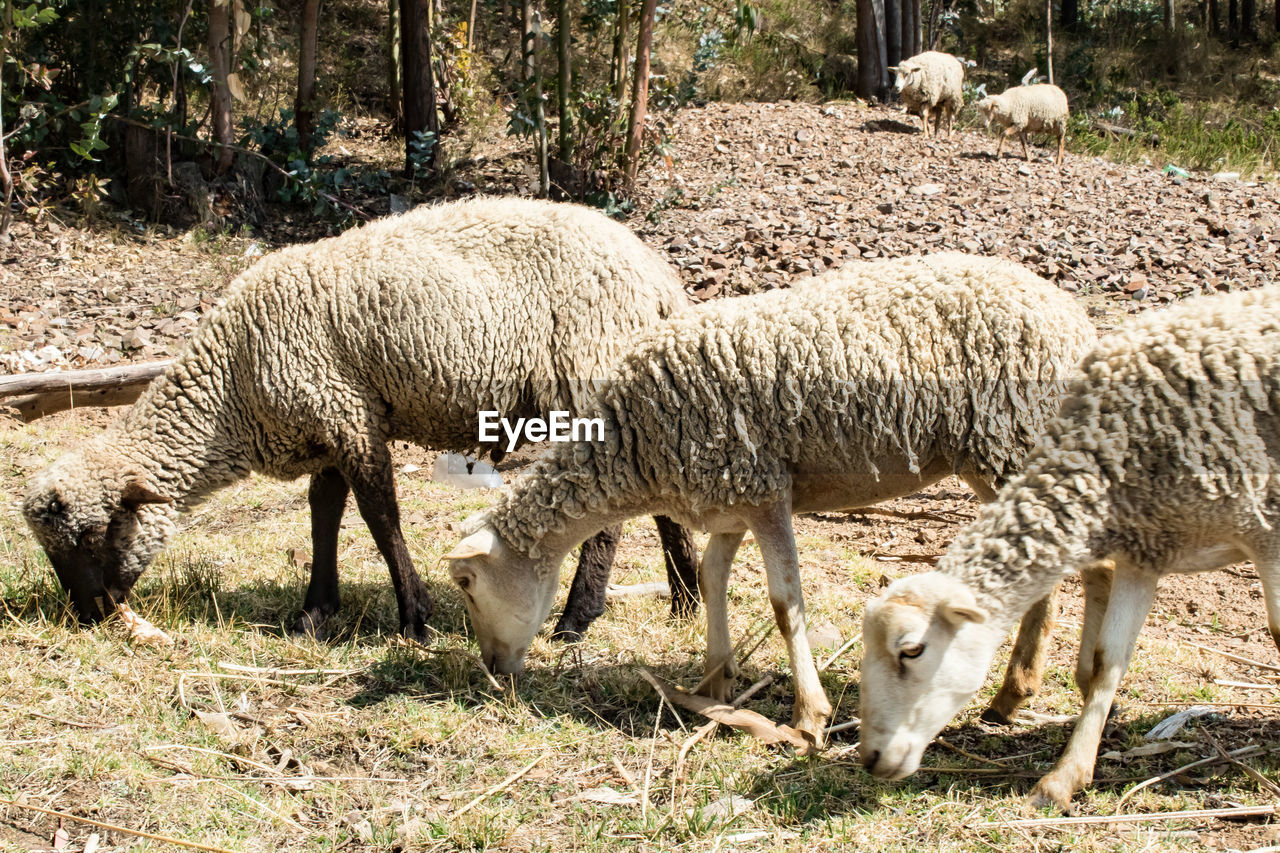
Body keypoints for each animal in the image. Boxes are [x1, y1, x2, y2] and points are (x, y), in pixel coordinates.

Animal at [20, 195, 696, 640]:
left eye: (90, 534)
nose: (86, 617)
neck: (232, 384)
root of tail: (658, 277)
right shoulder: (323, 425)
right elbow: (324, 514)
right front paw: (316, 610)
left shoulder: (346, 413)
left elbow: (379, 516)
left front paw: (414, 616)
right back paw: (685, 599)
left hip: (586, 370)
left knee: (608, 514)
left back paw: (578, 619)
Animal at [445, 252, 1095, 742]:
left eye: (468, 584)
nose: (493, 672)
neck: (634, 444)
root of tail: (1073, 317)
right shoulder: (729, 501)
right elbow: (711, 579)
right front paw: (713, 684)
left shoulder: (764, 493)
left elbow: (785, 604)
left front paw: (809, 716)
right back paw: (1011, 697)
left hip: (1010, 441)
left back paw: (1022, 690)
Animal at [855, 281, 1280, 809]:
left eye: (911, 651)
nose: (871, 758)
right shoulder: (1145, 551)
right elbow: (1106, 661)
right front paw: (1063, 778)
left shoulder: (1266, 535)